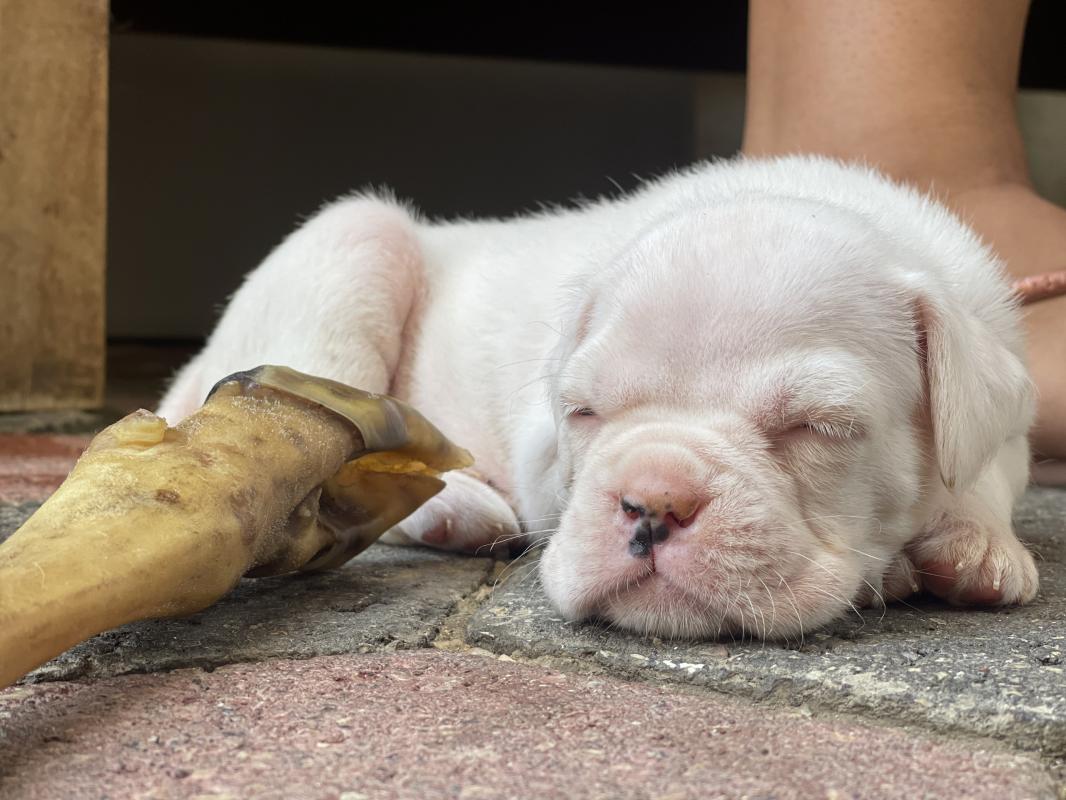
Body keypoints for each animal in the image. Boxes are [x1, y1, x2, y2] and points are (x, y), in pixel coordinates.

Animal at [158, 155, 1038, 640]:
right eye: (583, 412)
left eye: (817, 427)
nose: (653, 500)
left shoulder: (1004, 400)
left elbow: (986, 466)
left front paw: (976, 543)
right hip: (347, 257)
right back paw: (457, 509)